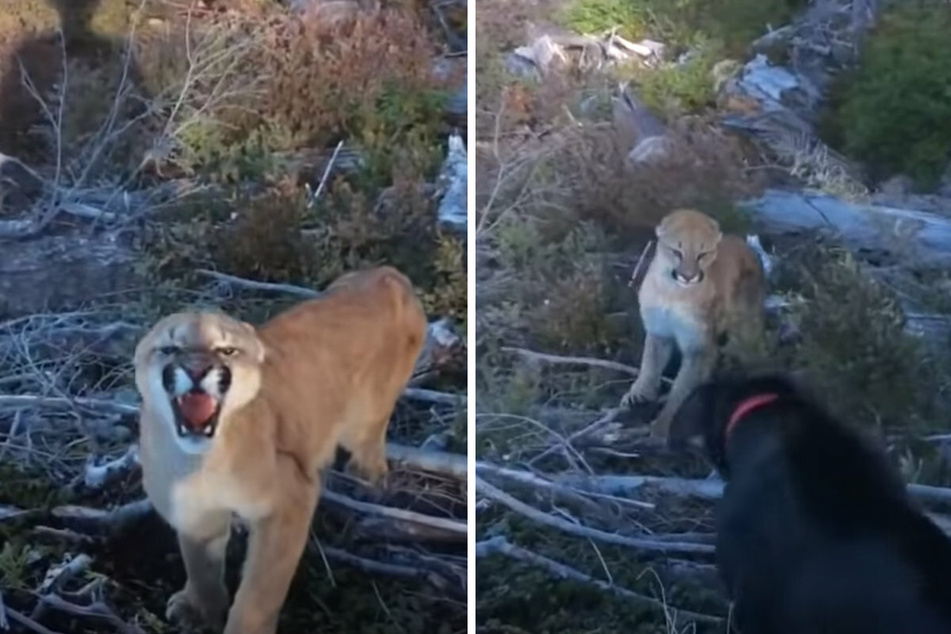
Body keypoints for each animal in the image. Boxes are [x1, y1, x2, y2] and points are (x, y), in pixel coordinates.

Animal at [135, 266, 428, 632]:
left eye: (227, 351)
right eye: (170, 348)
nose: (197, 369)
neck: (198, 462)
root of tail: (387, 272)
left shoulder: (289, 501)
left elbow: (260, 591)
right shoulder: (193, 511)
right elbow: (200, 563)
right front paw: (199, 608)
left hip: (364, 418)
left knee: (369, 439)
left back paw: (366, 479)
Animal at [620, 209, 768, 440]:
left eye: (702, 254)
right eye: (676, 251)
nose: (688, 276)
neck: (673, 293)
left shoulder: (698, 347)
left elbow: (681, 390)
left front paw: (663, 425)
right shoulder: (659, 332)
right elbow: (649, 364)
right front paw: (639, 393)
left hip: (745, 327)